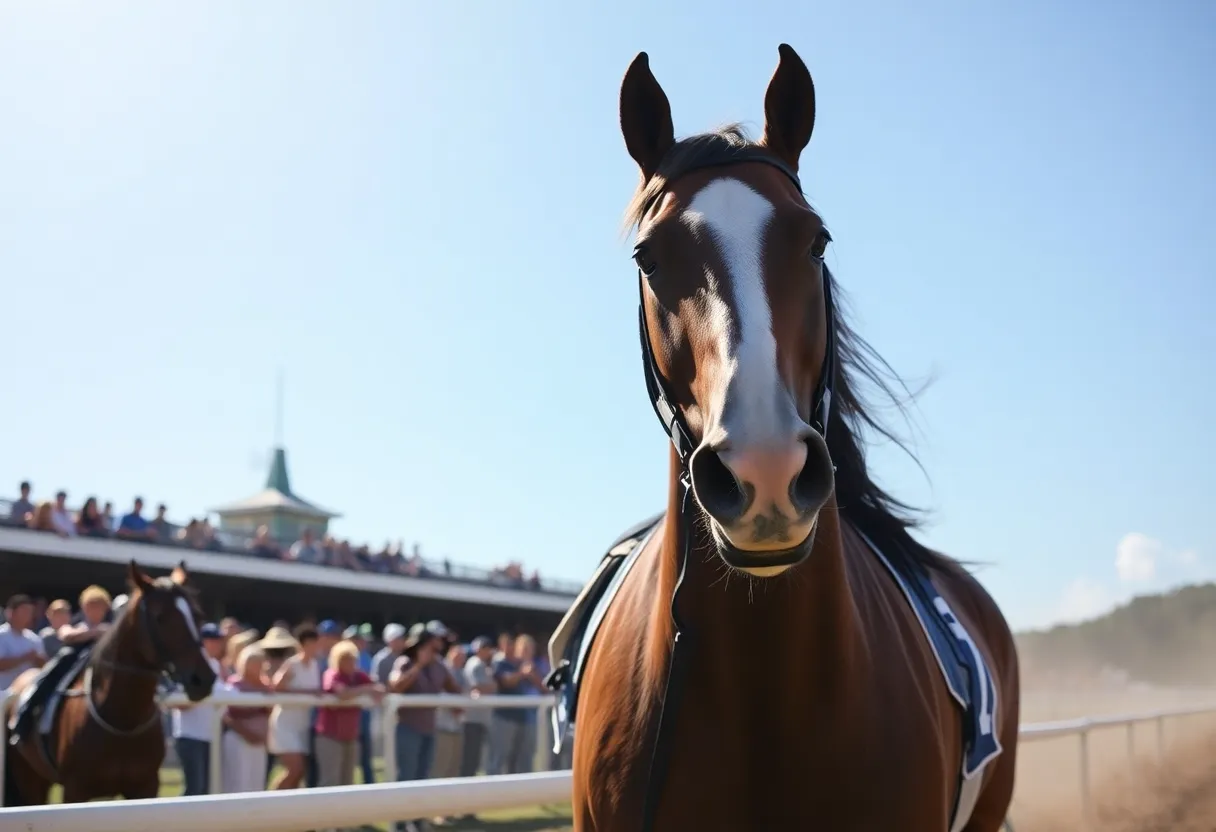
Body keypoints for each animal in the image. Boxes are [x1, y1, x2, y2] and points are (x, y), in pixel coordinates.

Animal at [4, 560, 216, 805]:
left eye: (197, 615)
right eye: (160, 617)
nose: (203, 679)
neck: (122, 720)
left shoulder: (145, 786)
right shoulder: (75, 789)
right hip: (29, 778)